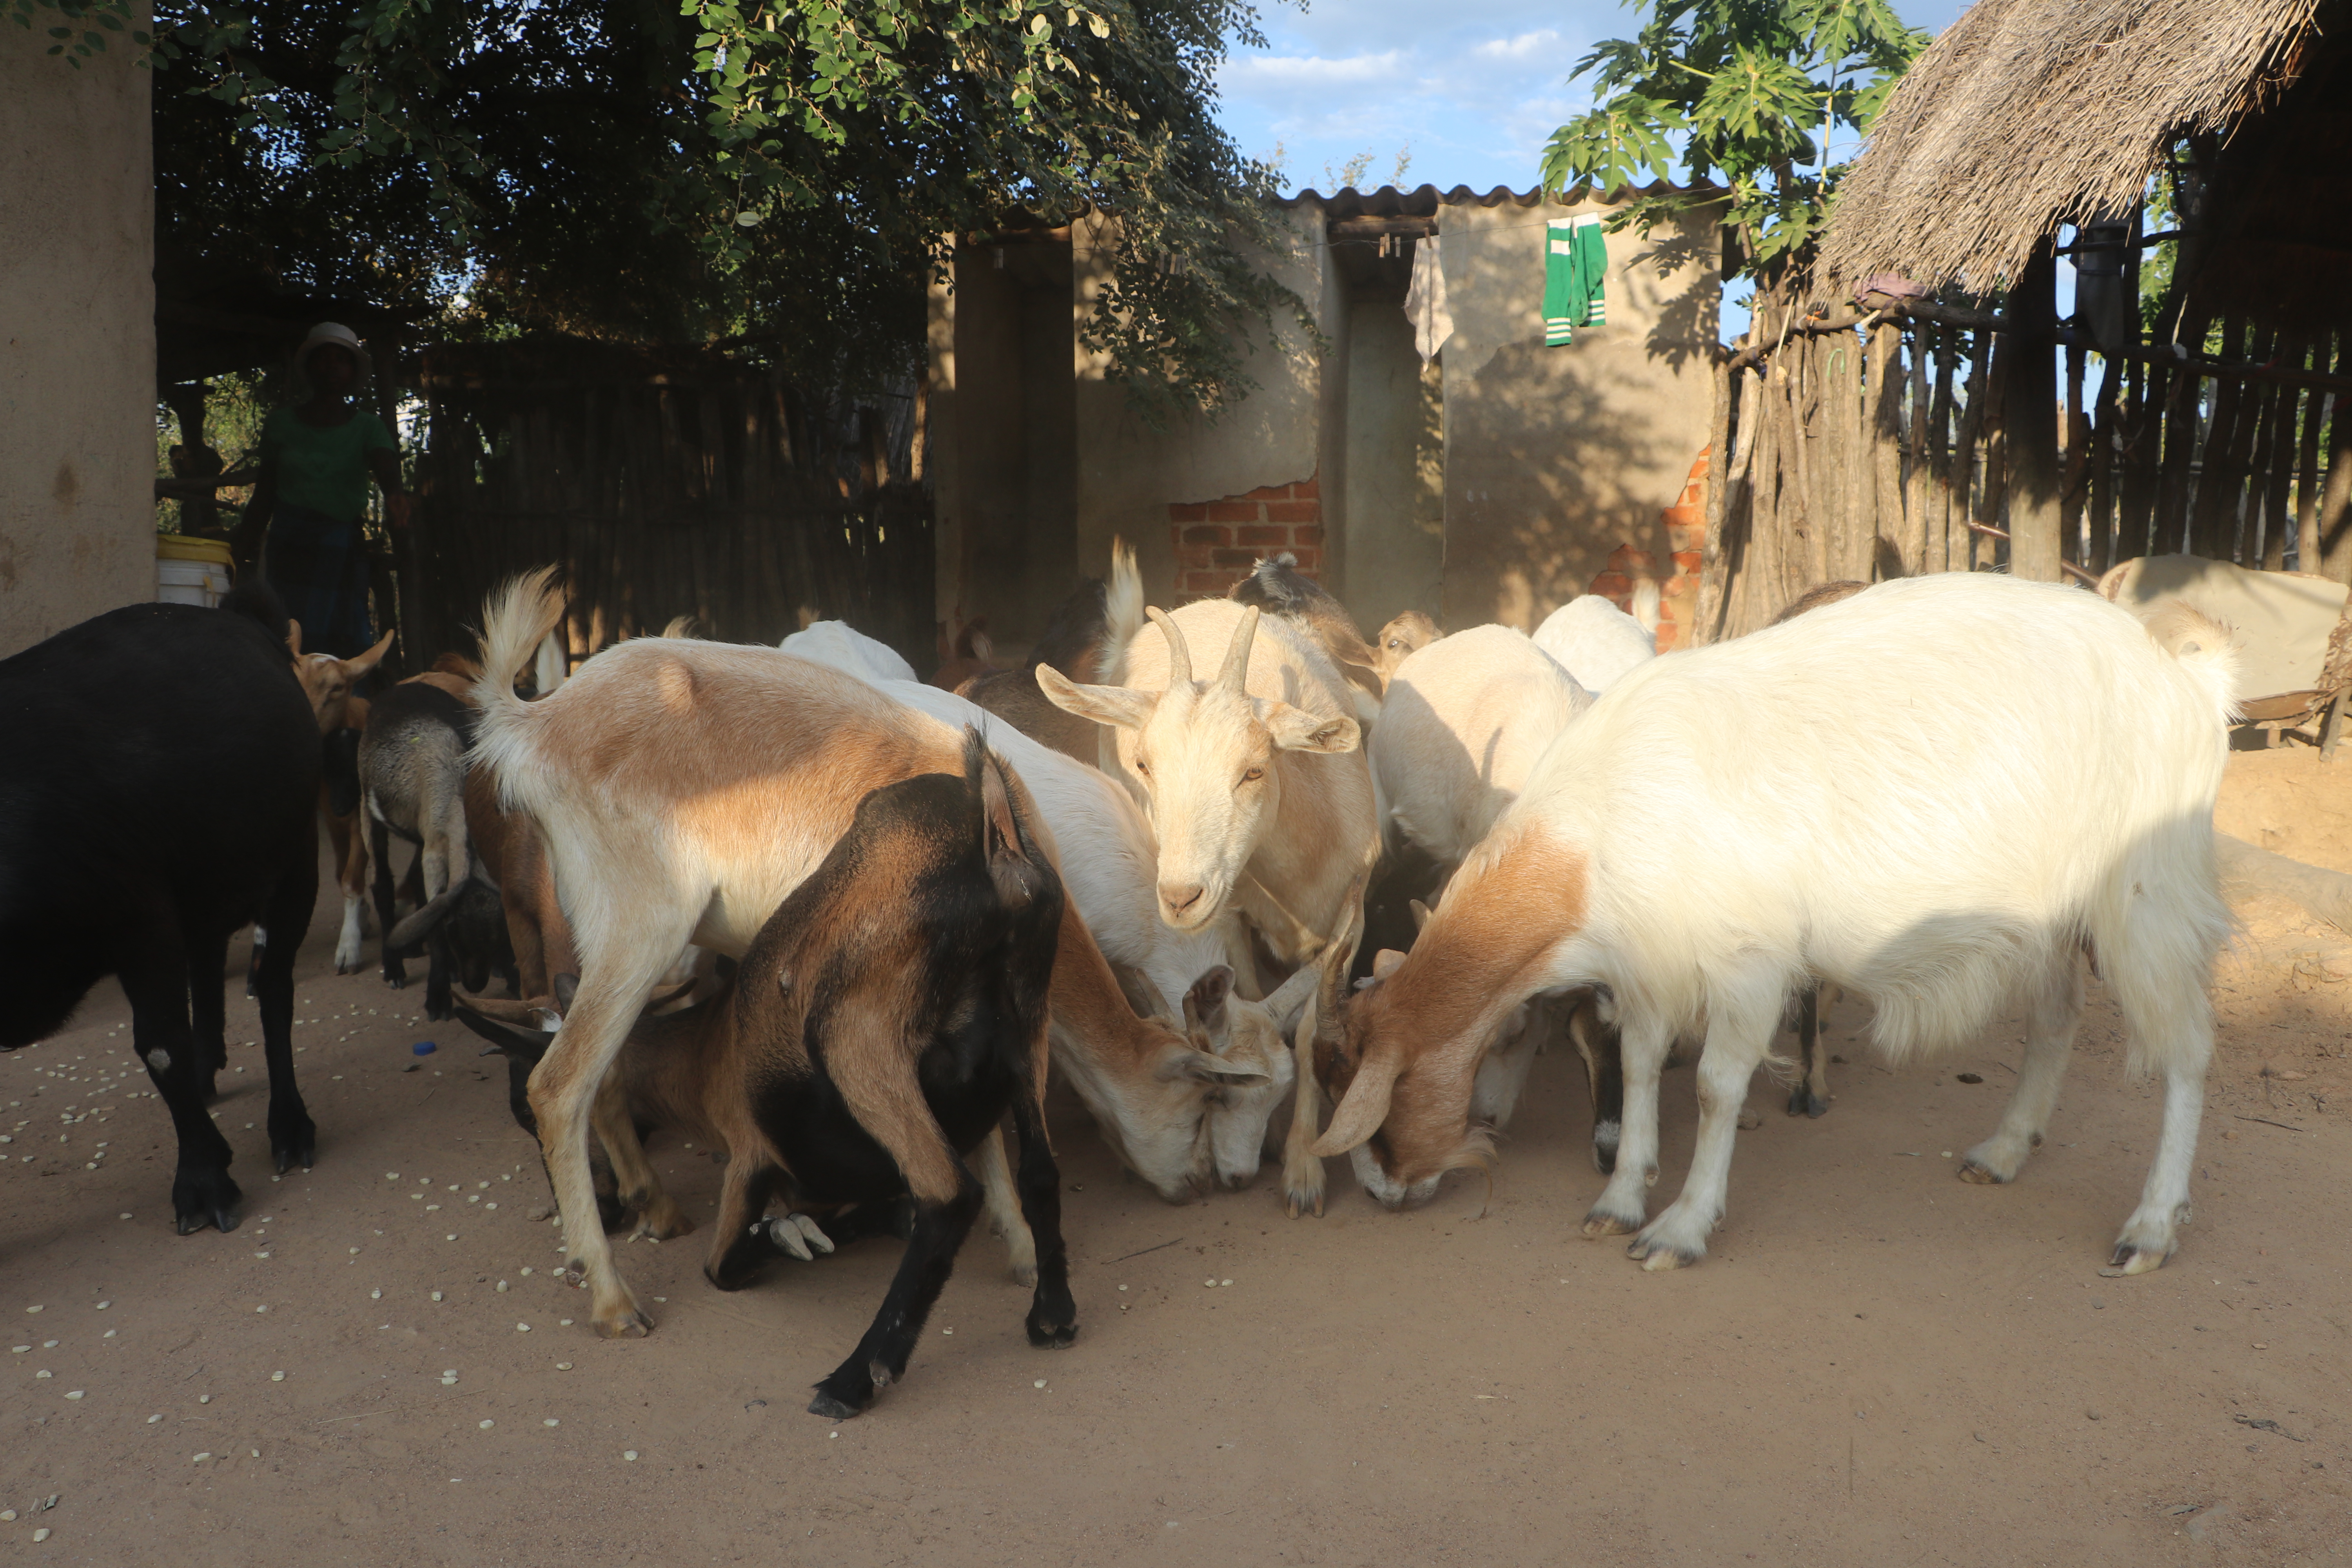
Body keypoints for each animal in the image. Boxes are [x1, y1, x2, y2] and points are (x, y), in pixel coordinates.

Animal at [1, 583, 322, 1232]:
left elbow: (159, 1046)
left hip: (294, 866)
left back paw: (289, 1124)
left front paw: (202, 1179)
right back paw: (208, 1070)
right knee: (208, 963)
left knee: (274, 989)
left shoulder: (139, 921)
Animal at [1040, 545, 1383, 1222]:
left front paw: (1304, 1171)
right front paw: (1273, 1140)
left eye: (1254, 770)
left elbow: (1311, 1026)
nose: (1179, 896)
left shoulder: (1352, 911)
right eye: (1144, 764)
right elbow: (1248, 1000)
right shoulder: (1230, 916)